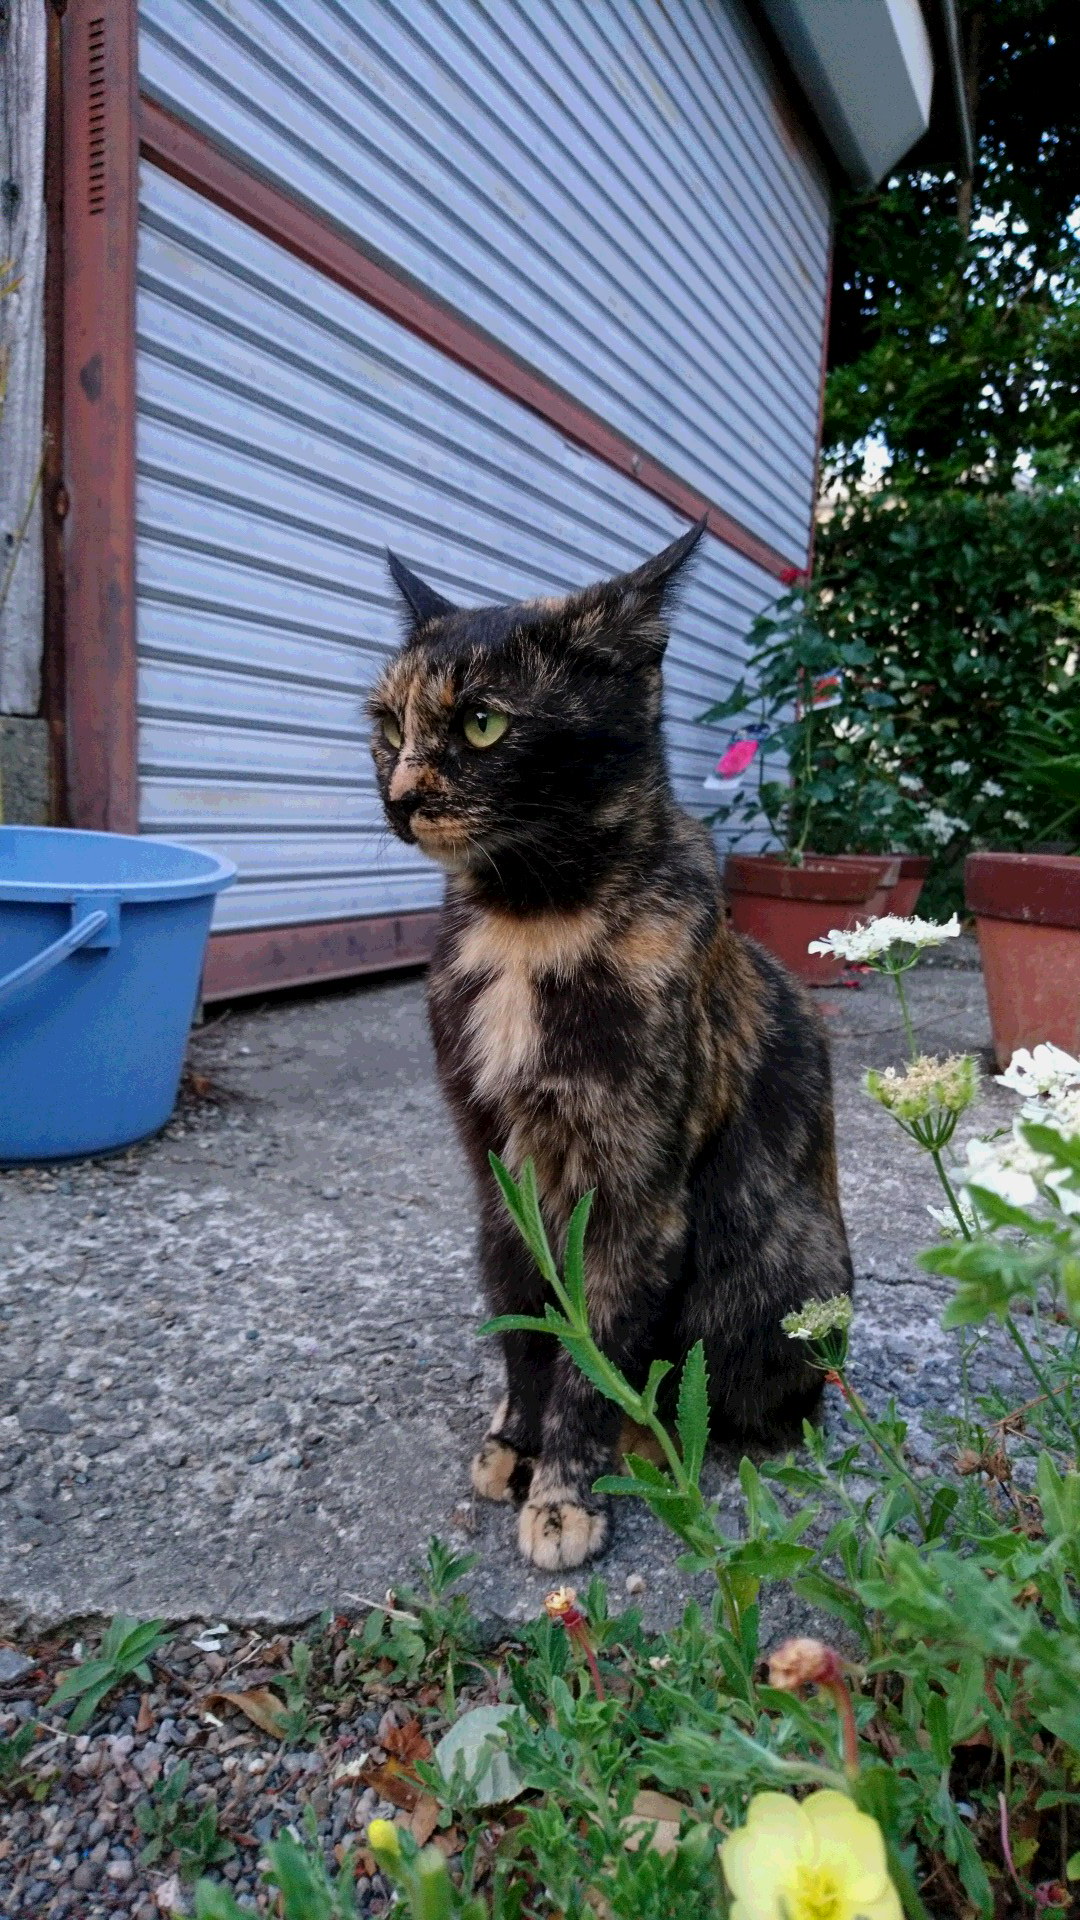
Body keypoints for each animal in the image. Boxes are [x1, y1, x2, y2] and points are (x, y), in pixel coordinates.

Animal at [369, 520, 853, 1571]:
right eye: (387, 725)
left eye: (481, 724)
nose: (399, 794)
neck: (528, 925)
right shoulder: (497, 1179)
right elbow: (529, 1326)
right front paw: (516, 1443)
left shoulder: (633, 1195)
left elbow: (596, 1357)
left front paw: (563, 1494)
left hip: (774, 1282)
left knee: (766, 1404)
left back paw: (656, 1437)